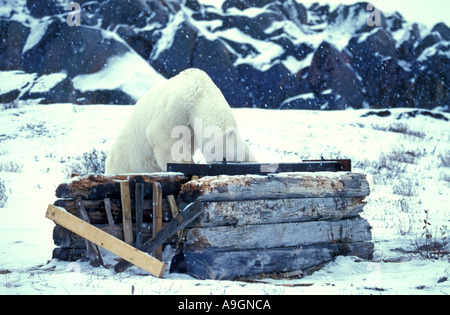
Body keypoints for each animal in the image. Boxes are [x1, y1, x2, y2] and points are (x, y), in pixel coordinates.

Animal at [103, 68, 255, 175]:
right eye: (225, 159)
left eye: (240, 160)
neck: (200, 90)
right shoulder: (178, 106)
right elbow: (164, 135)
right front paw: (189, 164)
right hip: (126, 159)